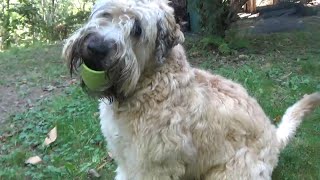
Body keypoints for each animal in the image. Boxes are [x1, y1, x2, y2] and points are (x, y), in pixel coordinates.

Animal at [62, 0, 320, 179]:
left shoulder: (151, 166)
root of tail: (274, 140)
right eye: (106, 13)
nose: (96, 48)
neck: (148, 83)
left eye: (137, 29)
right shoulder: (126, 159)